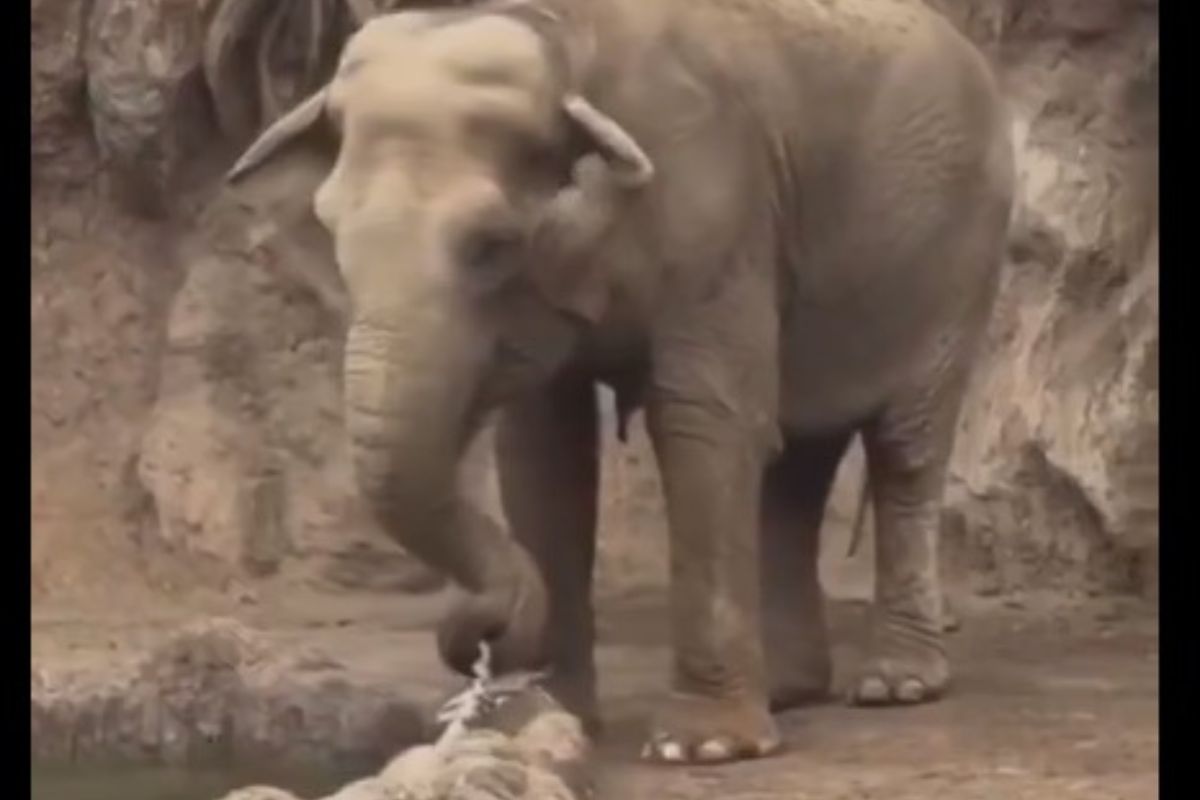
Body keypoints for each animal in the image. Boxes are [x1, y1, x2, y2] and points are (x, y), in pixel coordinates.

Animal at [227, 0, 1015, 765]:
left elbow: (702, 419)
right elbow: (544, 450)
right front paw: (543, 721)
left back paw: (895, 686)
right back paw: (790, 691)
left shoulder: (715, 196)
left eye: (491, 245)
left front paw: (702, 748)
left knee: (905, 444)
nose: (479, 640)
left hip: (959, 250)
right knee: (797, 461)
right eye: (331, 234)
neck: (557, 40)